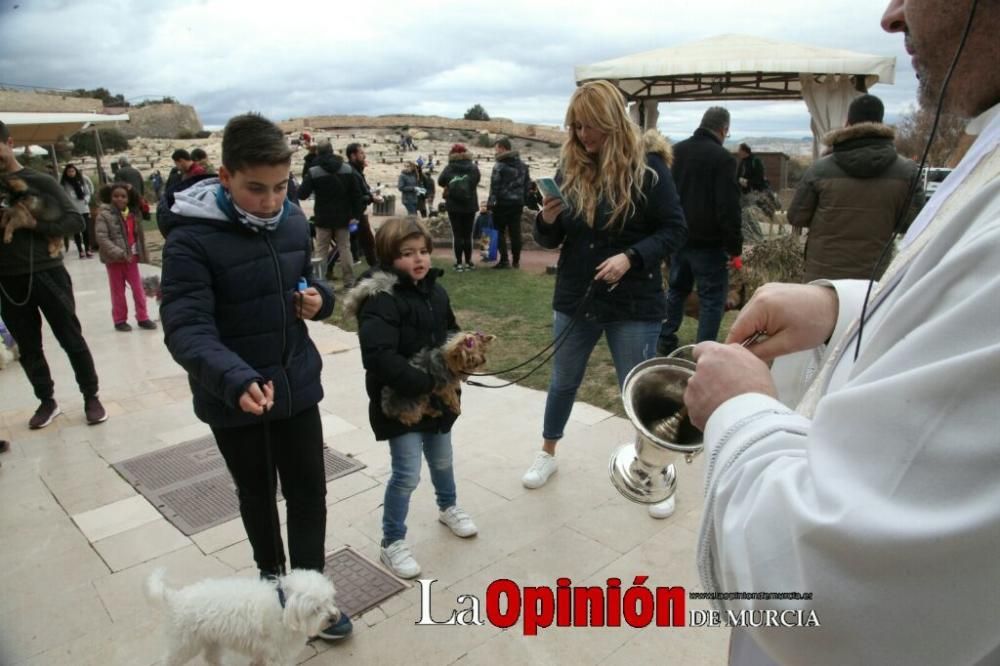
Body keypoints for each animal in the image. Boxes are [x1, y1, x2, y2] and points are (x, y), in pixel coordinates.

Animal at [145, 564, 340, 664]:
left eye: (328, 600)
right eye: (315, 609)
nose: (333, 618)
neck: (283, 608)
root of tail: (175, 598)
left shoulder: (264, 650)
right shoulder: (276, 653)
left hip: (211, 639)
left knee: (211, 657)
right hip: (184, 645)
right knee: (169, 660)